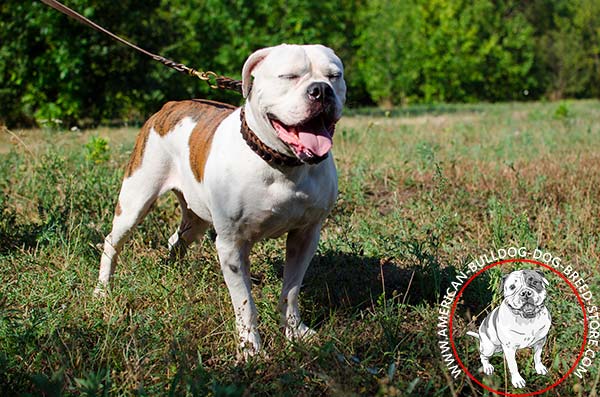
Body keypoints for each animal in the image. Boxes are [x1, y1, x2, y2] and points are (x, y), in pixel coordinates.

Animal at [95, 44, 344, 354]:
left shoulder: (306, 234)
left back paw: (173, 273)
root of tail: (170, 106)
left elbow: (291, 290)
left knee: (176, 240)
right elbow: (245, 302)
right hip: (135, 202)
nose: (321, 90)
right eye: (289, 76)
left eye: (334, 76)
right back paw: (102, 290)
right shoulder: (232, 245)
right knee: (112, 242)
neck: (282, 164)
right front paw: (251, 348)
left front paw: (295, 331)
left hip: (196, 219)